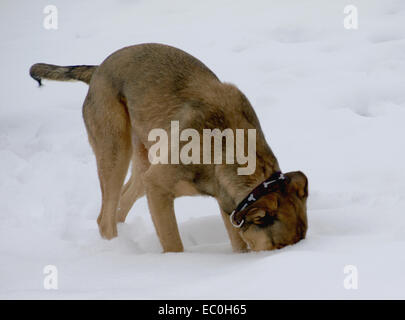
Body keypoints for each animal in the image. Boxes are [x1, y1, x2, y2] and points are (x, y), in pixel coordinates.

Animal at [29, 42, 306, 252]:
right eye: (277, 248)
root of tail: (98, 70)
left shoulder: (226, 204)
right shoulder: (159, 186)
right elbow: (173, 243)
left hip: (145, 160)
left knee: (121, 202)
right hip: (116, 151)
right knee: (104, 218)